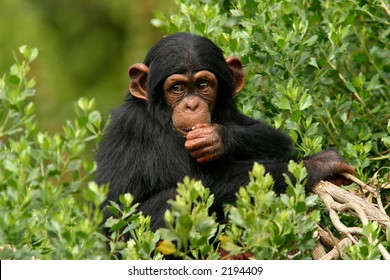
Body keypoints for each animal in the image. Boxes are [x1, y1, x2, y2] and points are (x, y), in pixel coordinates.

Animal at [96, 31, 354, 231]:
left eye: (203, 85)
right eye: (177, 88)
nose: (191, 105)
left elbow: (275, 139)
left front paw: (218, 138)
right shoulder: (140, 127)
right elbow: (196, 181)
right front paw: (320, 163)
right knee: (174, 198)